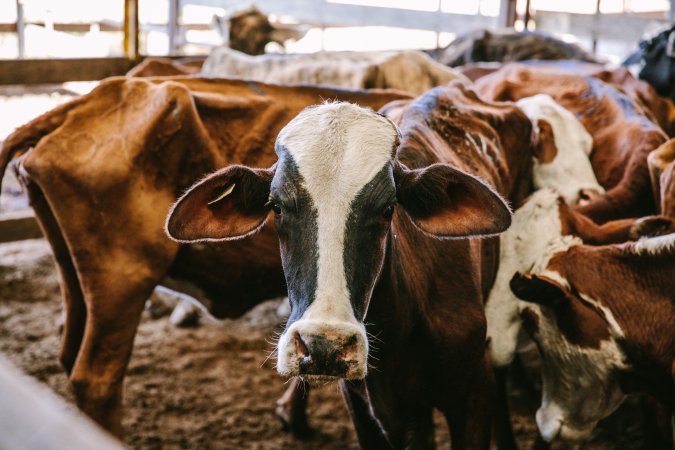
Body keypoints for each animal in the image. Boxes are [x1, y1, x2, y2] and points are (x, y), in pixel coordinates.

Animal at [0, 77, 412, 436]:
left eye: (386, 209)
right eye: (277, 206)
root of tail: (89, 99)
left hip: (73, 275)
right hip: (122, 282)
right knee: (96, 379)